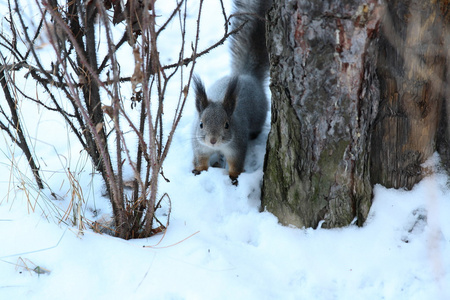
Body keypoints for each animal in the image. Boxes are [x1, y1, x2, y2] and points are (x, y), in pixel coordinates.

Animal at [191, 0, 270, 185]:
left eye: (227, 125)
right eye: (201, 124)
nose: (213, 140)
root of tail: (247, 76)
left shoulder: (237, 147)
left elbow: (236, 163)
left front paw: (234, 177)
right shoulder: (200, 146)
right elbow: (201, 160)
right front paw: (199, 170)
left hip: (259, 116)